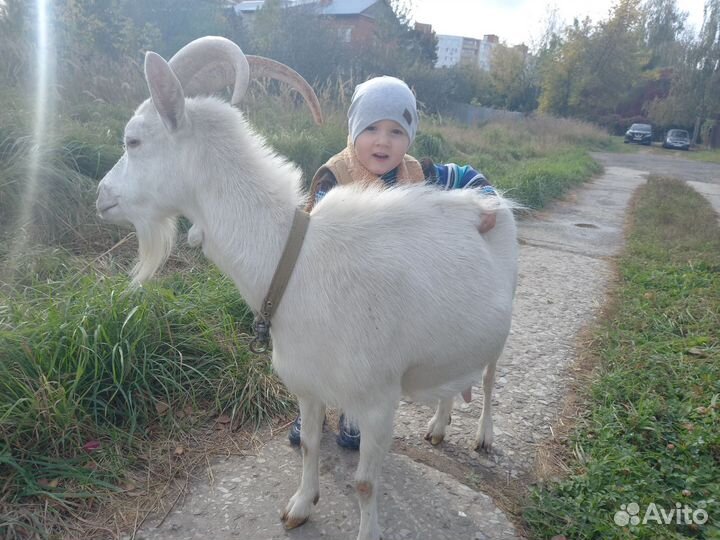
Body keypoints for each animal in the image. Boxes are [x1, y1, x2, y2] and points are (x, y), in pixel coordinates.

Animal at [96, 37, 518, 540]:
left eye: (133, 140)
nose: (100, 196)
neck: (294, 262)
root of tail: (492, 199)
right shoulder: (307, 384)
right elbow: (312, 445)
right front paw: (300, 506)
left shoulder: (379, 400)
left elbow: (365, 483)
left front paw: (367, 531)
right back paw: (438, 426)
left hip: (500, 332)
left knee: (490, 382)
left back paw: (484, 437)